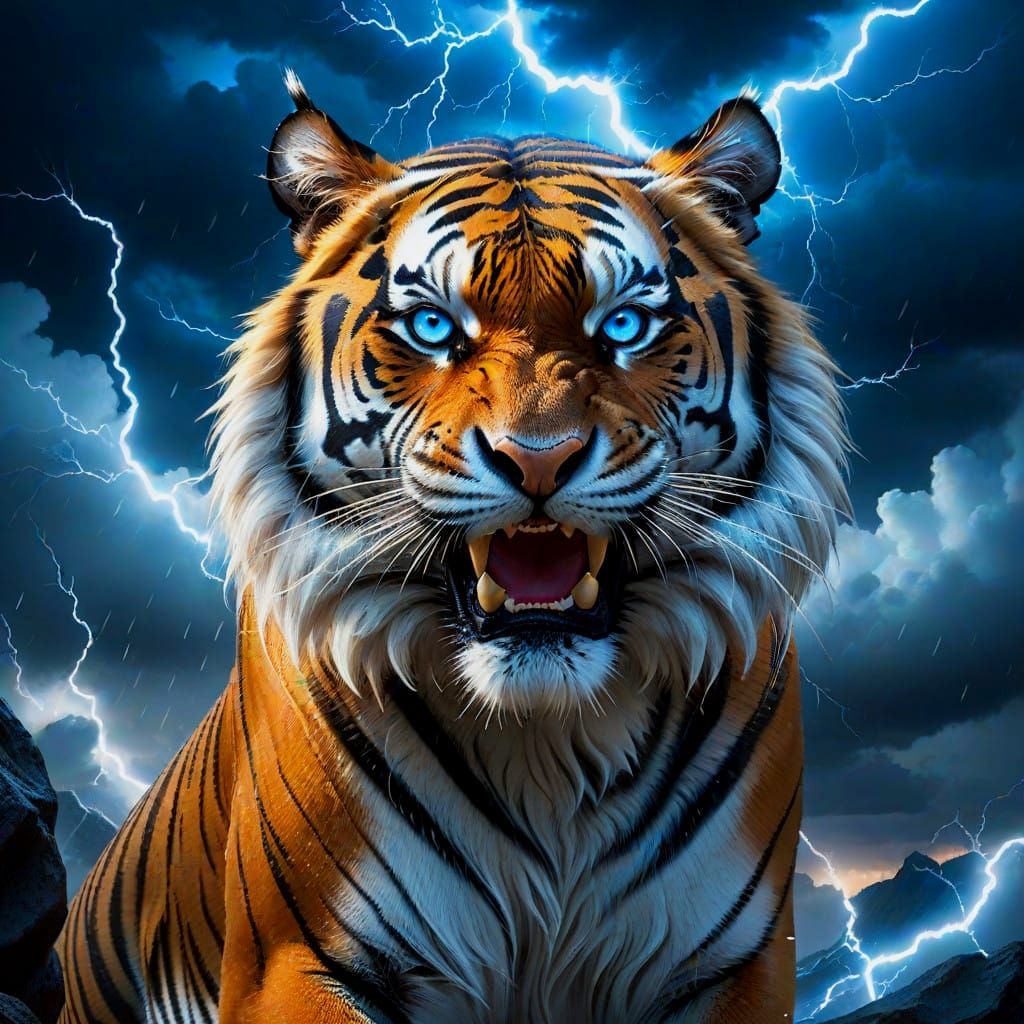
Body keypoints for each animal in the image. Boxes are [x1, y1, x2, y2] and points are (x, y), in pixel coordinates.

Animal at [59, 70, 849, 1024]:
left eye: (623, 325)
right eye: (435, 328)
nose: (538, 456)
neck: (550, 738)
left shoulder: (736, 963)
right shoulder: (297, 959)